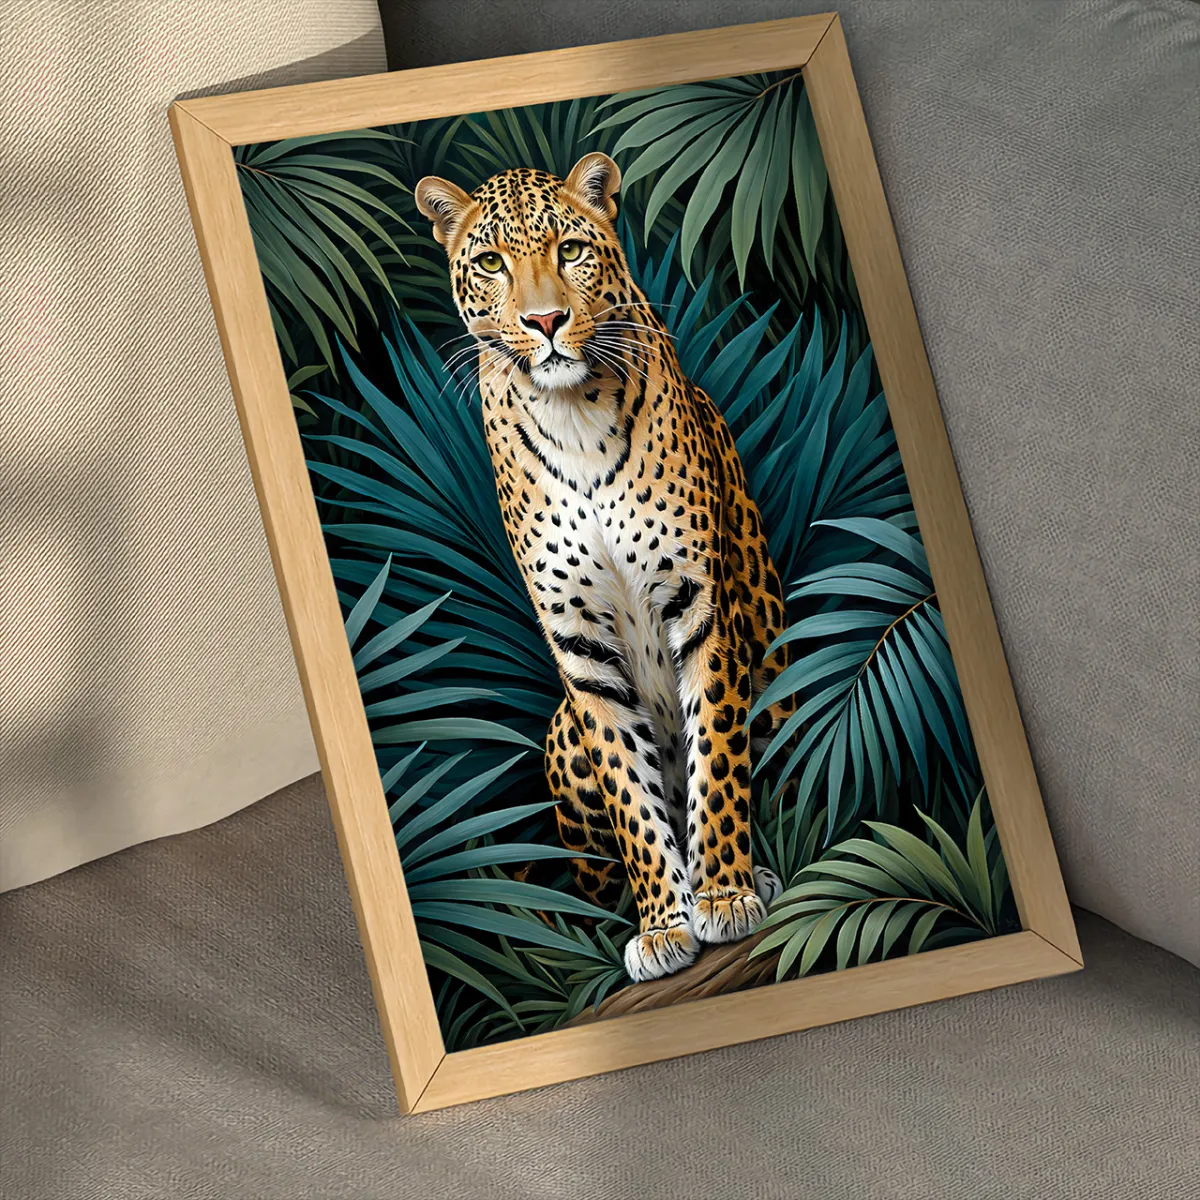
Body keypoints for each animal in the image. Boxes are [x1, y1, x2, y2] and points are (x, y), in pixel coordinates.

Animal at [416, 152, 795, 982]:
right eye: (490, 263)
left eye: (570, 251)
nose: (545, 322)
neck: (574, 415)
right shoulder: (580, 648)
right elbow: (629, 790)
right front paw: (662, 924)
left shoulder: (701, 604)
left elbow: (718, 754)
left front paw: (722, 894)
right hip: (560, 732)